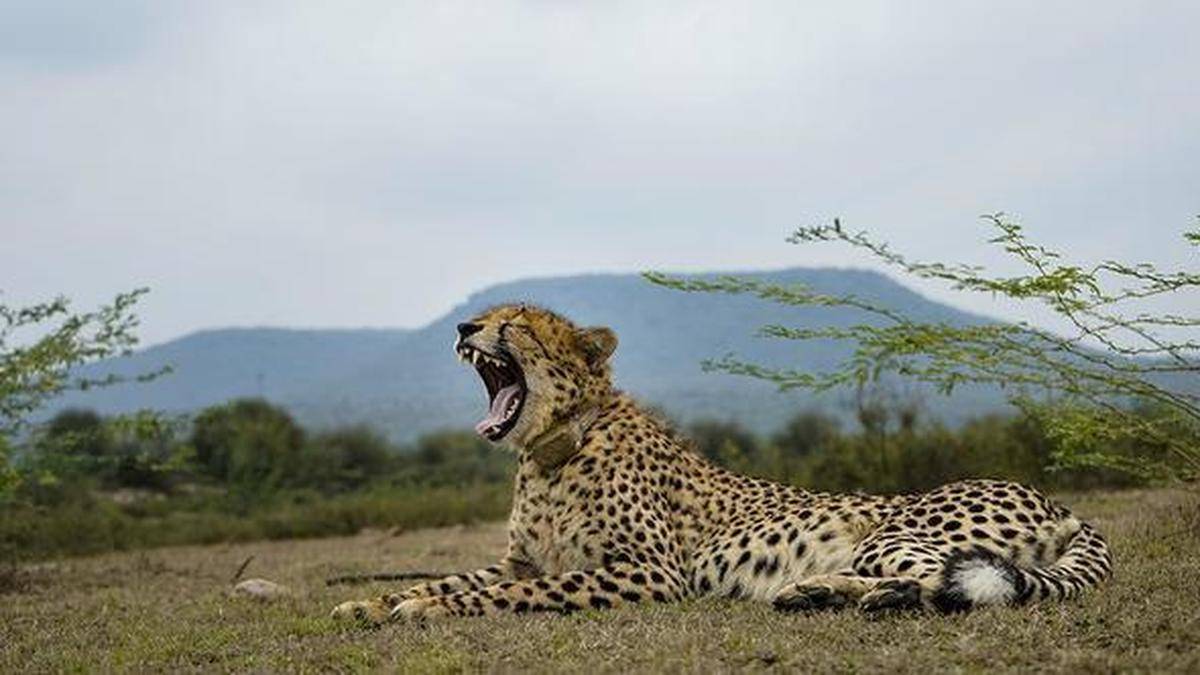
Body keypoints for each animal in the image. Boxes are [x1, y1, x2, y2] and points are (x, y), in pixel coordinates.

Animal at [331, 303, 1111, 623]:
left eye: (515, 323)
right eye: (486, 315)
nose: (465, 326)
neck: (553, 451)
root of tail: (1055, 501)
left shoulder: (650, 571)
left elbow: (514, 592)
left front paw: (422, 606)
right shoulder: (517, 559)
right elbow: (464, 575)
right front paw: (372, 599)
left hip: (895, 531)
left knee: (952, 583)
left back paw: (864, 596)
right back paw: (818, 592)